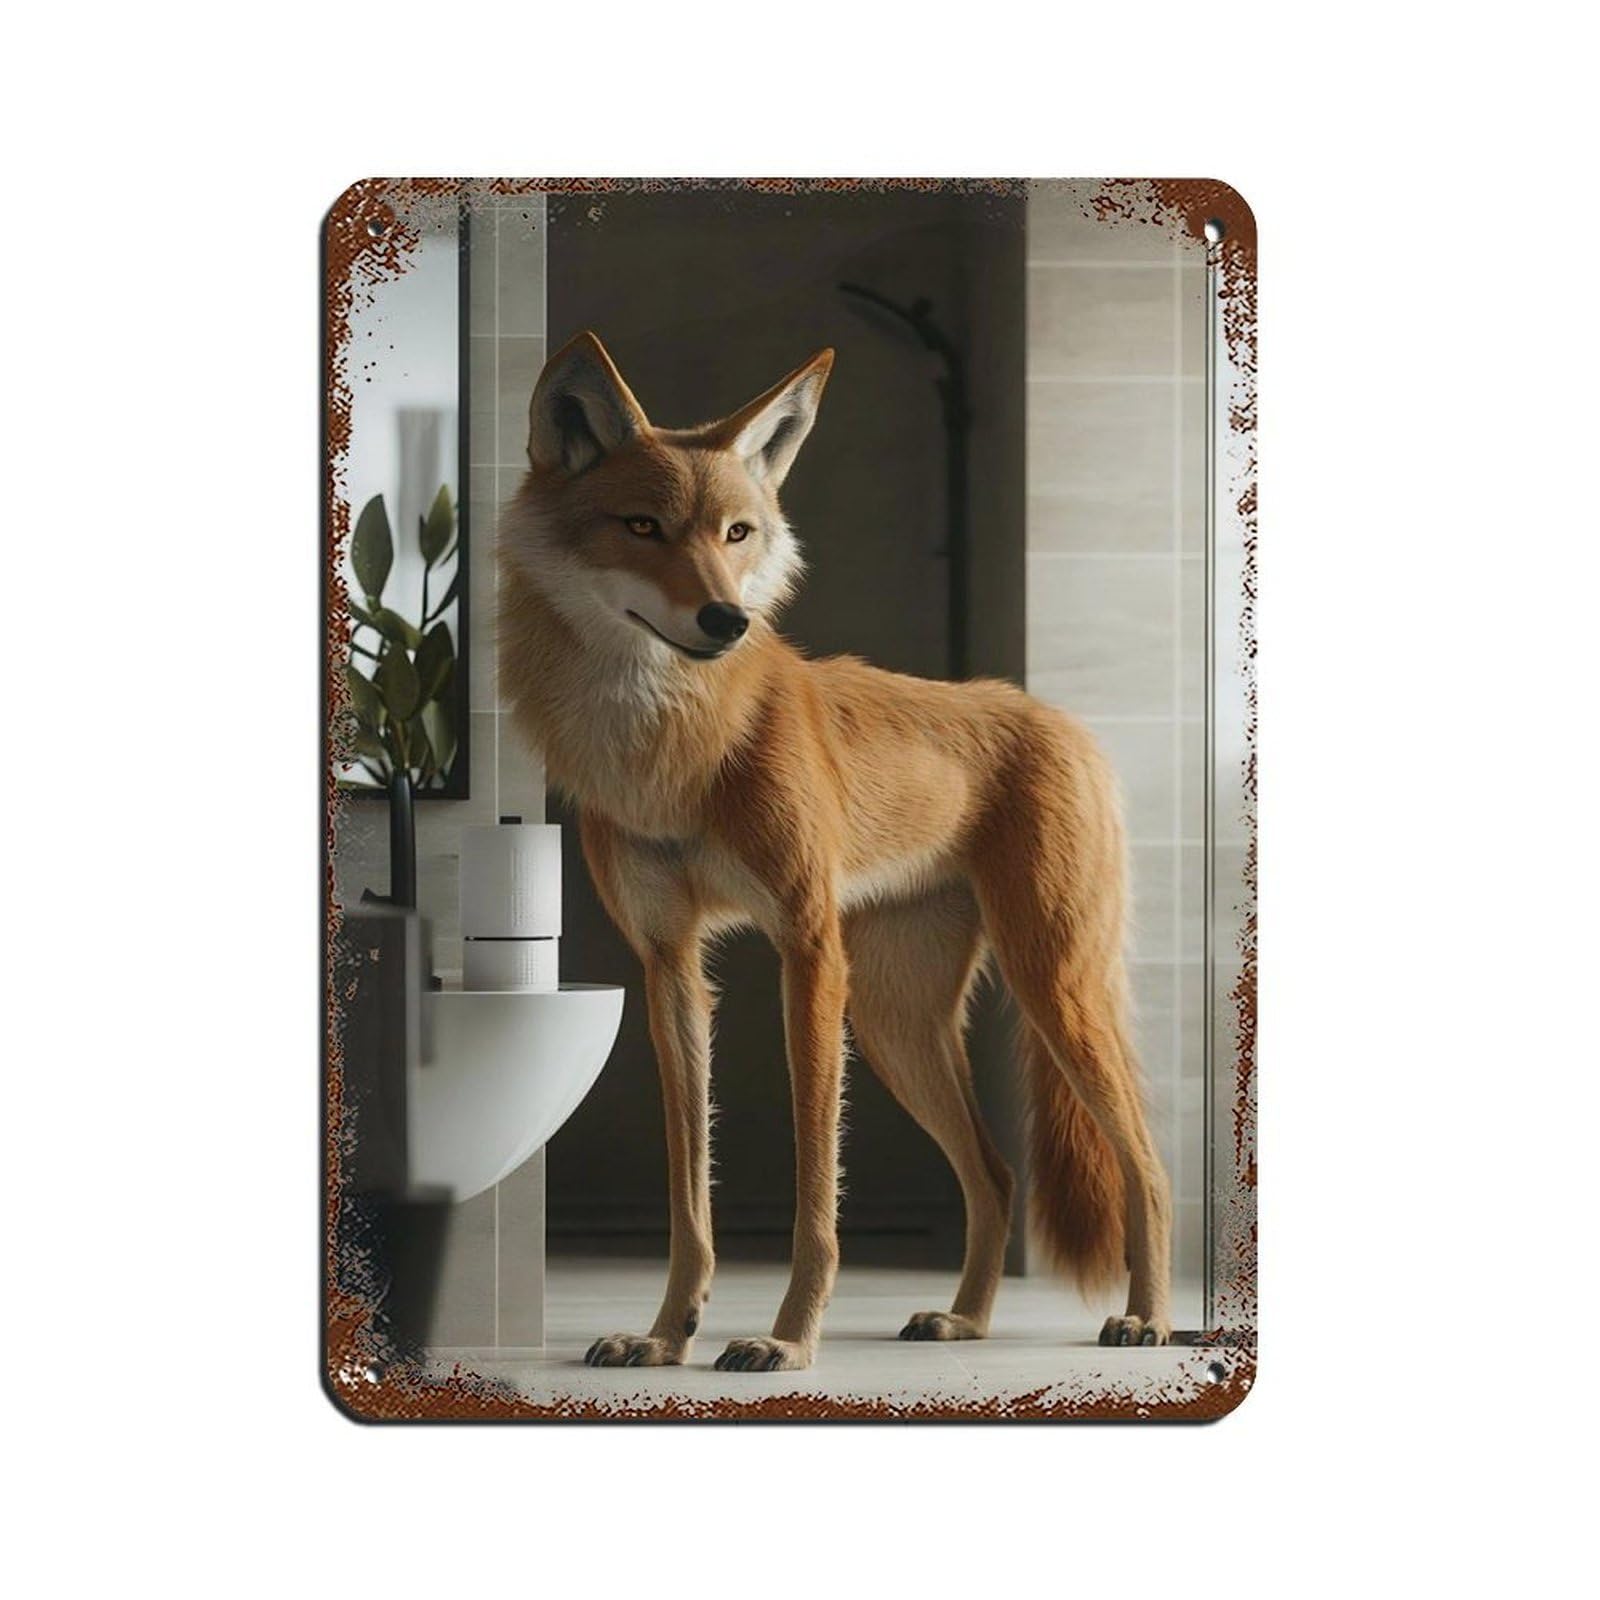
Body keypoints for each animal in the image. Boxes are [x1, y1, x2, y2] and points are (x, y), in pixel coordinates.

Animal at [497, 330, 1173, 1371]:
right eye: (644, 527)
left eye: (737, 533)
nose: (727, 621)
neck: (675, 752)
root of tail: (1062, 722)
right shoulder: (670, 967)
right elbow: (689, 1198)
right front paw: (666, 1336)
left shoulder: (807, 951)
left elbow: (818, 1190)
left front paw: (786, 1342)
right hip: (900, 1026)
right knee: (996, 1172)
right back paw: (965, 1321)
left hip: (1048, 989)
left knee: (1147, 1165)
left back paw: (1146, 1319)